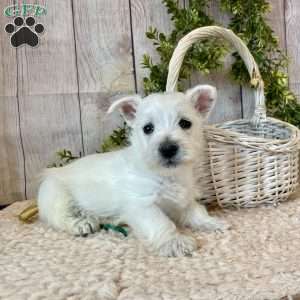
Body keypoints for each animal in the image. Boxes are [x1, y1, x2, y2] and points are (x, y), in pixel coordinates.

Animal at [37, 84, 225, 255]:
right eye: (148, 128)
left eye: (185, 123)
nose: (168, 149)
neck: (165, 175)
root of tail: (51, 172)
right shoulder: (142, 205)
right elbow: (161, 223)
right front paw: (174, 242)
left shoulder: (183, 201)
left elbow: (196, 211)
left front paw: (212, 222)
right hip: (57, 197)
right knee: (59, 217)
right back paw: (81, 223)